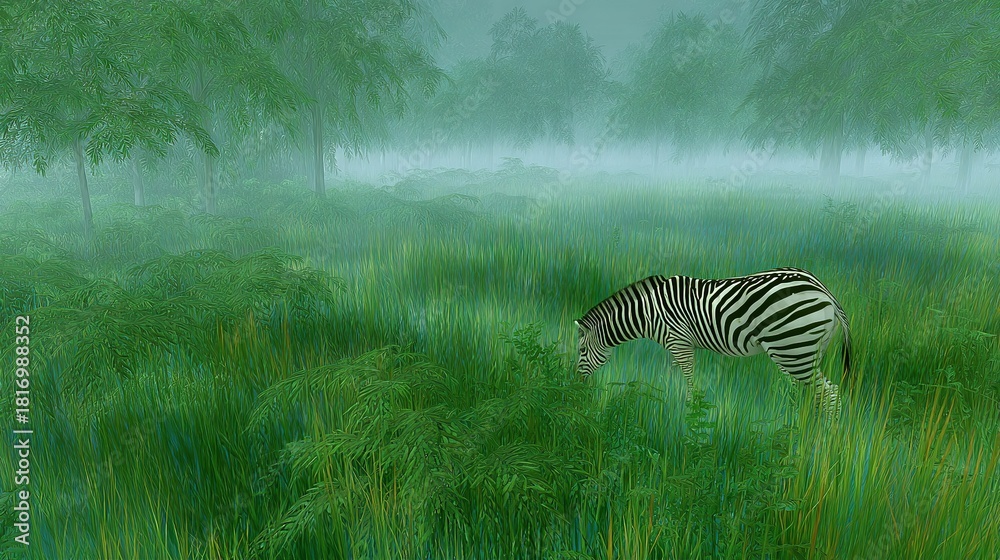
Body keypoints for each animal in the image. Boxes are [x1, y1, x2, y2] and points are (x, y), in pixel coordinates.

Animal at [575, 268, 851, 417]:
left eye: (582, 349)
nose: (576, 383)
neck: (649, 312)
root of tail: (823, 289)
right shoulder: (674, 345)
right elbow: (672, 374)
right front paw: (666, 401)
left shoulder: (680, 341)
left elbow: (688, 376)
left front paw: (688, 409)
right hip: (806, 351)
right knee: (814, 394)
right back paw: (798, 425)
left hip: (792, 349)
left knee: (831, 394)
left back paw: (823, 440)